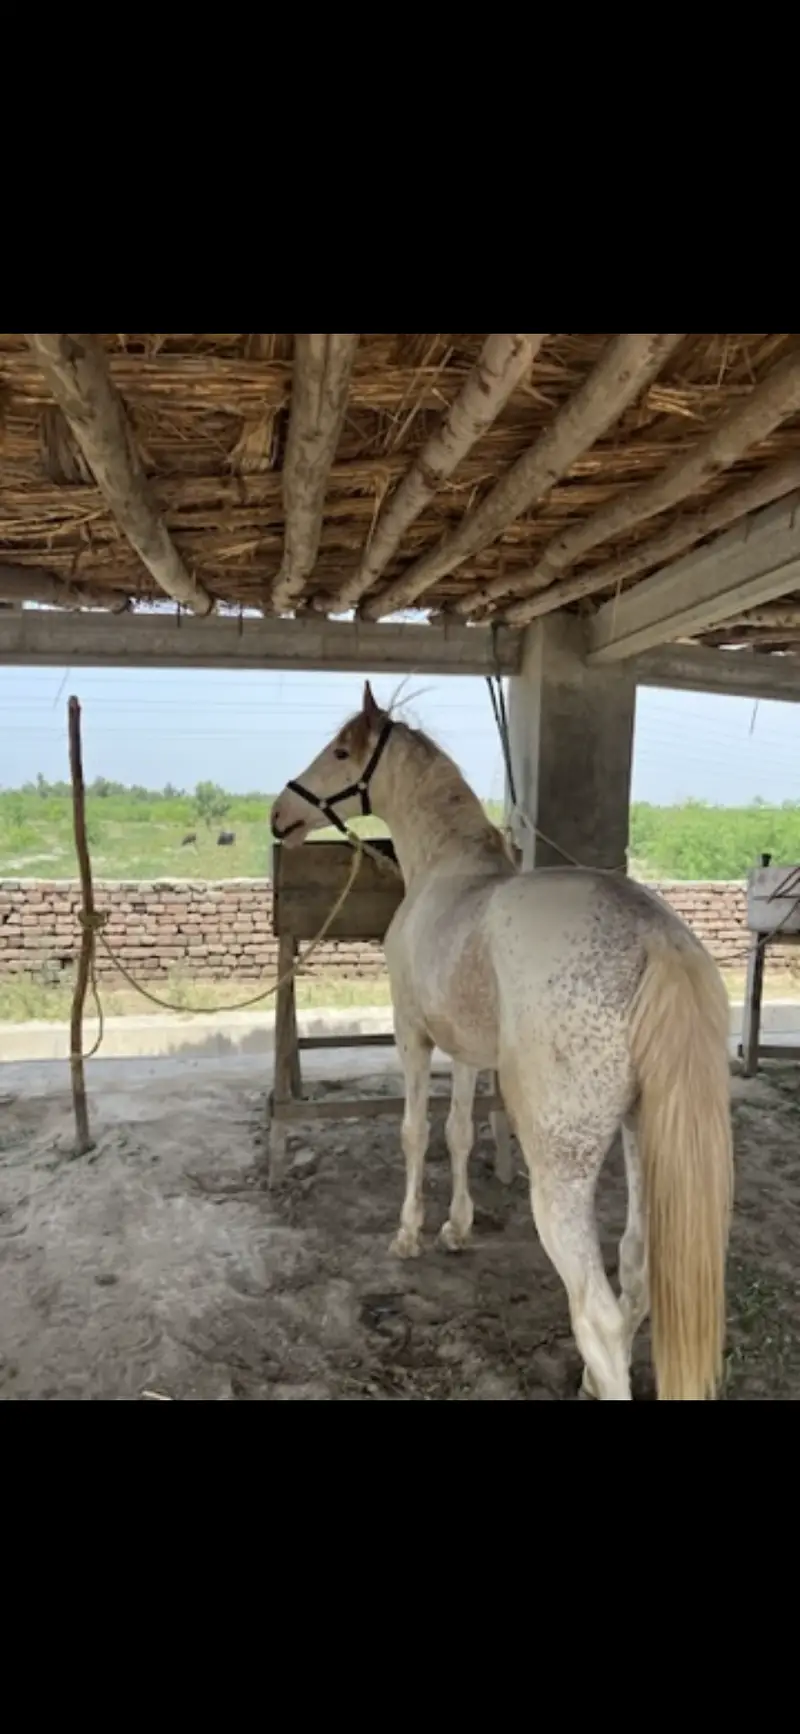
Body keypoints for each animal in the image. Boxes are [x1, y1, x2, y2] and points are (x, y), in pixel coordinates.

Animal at [271, 682, 733, 1401]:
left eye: (342, 751)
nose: (278, 814)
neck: (446, 870)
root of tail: (657, 938)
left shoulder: (413, 1034)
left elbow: (414, 1133)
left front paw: (409, 1233)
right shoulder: (465, 1050)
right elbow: (460, 1131)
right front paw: (457, 1227)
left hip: (562, 1170)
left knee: (597, 1314)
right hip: (642, 1136)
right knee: (634, 1273)